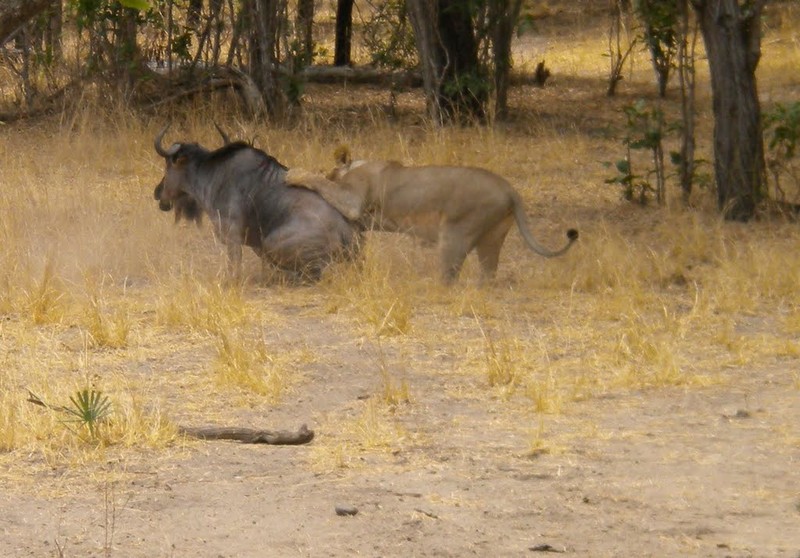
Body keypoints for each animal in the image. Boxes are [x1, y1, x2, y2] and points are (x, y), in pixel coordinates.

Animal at [284, 149, 580, 284]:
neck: (357, 164)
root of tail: (510, 189)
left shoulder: (353, 199)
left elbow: (321, 182)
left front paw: (295, 174)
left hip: (455, 234)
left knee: (450, 275)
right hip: (492, 237)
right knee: (488, 272)